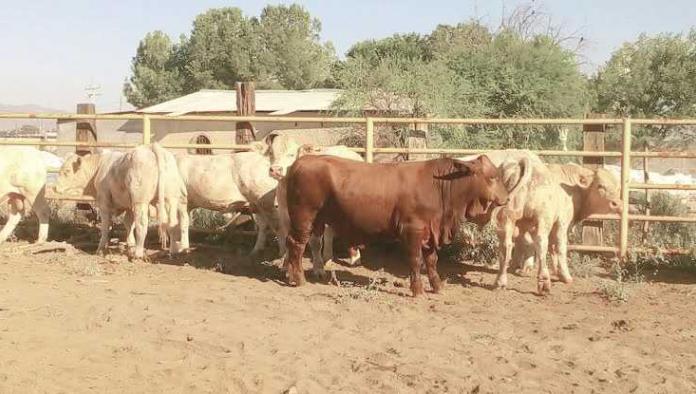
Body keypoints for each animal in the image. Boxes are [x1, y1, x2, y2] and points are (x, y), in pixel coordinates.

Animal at [56, 143, 188, 260]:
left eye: (67, 171)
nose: (55, 187)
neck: (99, 168)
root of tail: (151, 147)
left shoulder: (104, 202)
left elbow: (106, 226)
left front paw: (101, 248)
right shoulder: (129, 205)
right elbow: (128, 223)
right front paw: (130, 244)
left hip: (141, 202)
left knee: (142, 224)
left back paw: (138, 253)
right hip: (170, 199)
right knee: (173, 222)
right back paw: (173, 251)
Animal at [282, 154, 506, 296]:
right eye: (492, 177)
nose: (506, 198)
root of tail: (301, 162)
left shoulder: (430, 232)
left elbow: (432, 261)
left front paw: (437, 287)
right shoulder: (413, 230)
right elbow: (415, 261)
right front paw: (418, 290)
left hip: (316, 220)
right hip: (304, 217)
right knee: (296, 244)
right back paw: (298, 279)